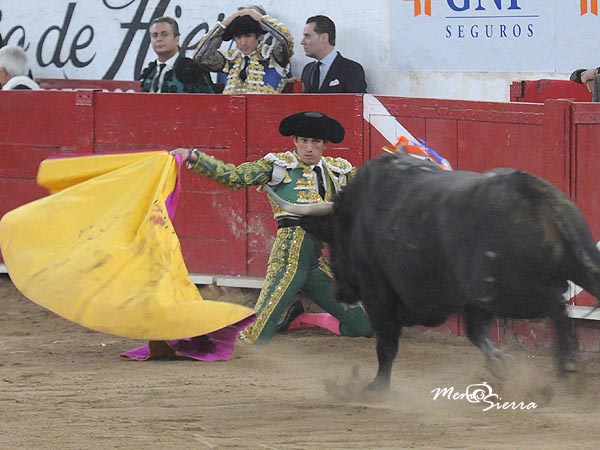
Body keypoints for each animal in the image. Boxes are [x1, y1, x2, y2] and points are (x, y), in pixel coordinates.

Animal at [268, 152, 600, 390]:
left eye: (334, 238)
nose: (341, 292)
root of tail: (535, 191)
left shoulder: (379, 296)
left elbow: (386, 343)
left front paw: (376, 388)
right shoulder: (468, 302)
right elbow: (476, 334)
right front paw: (500, 364)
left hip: (505, 293)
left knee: (556, 305)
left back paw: (567, 367)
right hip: (580, 266)